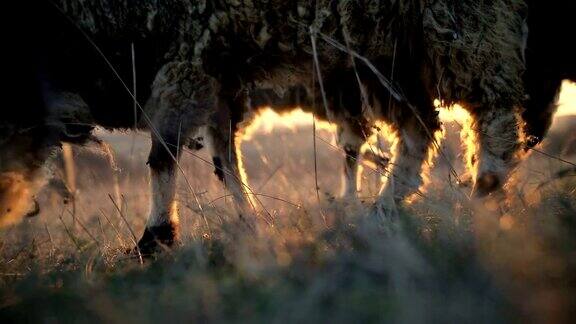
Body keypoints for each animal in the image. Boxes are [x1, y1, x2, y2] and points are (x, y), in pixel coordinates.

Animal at [0, 0, 528, 253]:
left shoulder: (185, 55)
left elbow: (165, 154)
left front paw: (155, 238)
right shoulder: (214, 70)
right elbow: (224, 161)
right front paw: (249, 220)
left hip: (460, 28)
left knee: (494, 113)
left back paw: (484, 187)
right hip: (388, 53)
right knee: (419, 129)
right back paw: (384, 211)